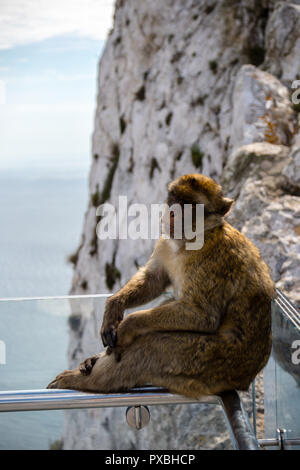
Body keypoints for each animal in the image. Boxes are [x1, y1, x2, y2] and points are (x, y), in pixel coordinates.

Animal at [47, 173, 276, 396]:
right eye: (173, 199)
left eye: (188, 205)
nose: (172, 213)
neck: (188, 242)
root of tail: (245, 380)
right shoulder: (165, 241)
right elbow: (153, 279)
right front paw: (114, 307)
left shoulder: (214, 260)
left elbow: (202, 316)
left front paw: (128, 325)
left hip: (210, 362)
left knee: (151, 347)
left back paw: (83, 381)